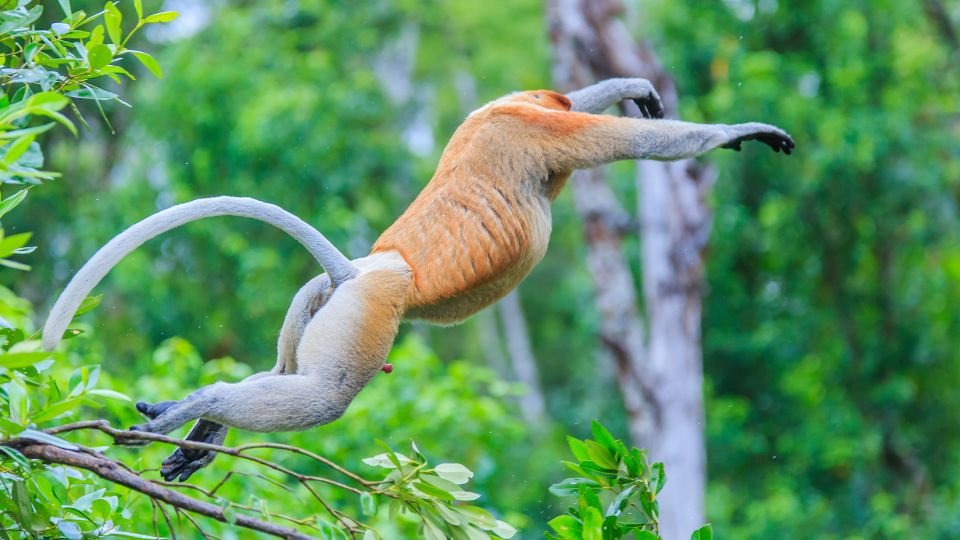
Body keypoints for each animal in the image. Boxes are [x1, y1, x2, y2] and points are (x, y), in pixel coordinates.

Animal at [42, 78, 794, 481]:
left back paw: (200, 433)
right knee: (324, 396)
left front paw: (635, 90)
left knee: (286, 373)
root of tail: (362, 268)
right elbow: (634, 140)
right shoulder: (537, 131)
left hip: (324, 308)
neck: (514, 109)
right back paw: (196, 408)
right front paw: (742, 131)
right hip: (368, 316)